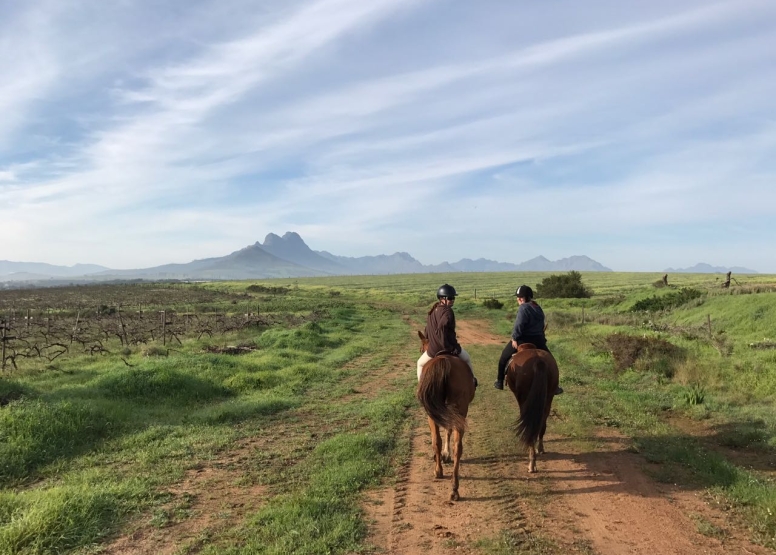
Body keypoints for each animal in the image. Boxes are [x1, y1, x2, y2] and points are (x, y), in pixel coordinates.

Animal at [416, 332, 476, 502]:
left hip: (435, 413)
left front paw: (444, 455)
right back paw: (454, 489)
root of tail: (444, 361)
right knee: (457, 446)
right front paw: (446, 455)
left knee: (436, 440)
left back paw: (438, 472)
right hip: (459, 411)